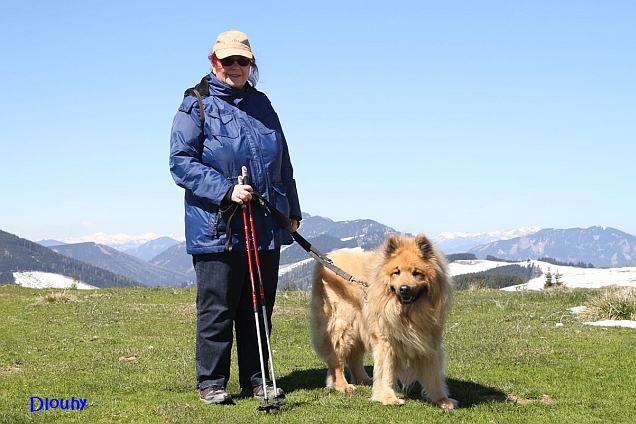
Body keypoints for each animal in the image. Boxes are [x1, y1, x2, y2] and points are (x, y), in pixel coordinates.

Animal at [310, 234, 454, 410]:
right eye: (396, 272)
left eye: (416, 273)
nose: (404, 289)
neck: (407, 313)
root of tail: (328, 258)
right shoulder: (386, 342)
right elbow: (386, 372)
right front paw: (388, 398)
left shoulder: (429, 341)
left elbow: (433, 374)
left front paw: (441, 400)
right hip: (341, 328)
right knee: (338, 361)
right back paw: (343, 386)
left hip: (359, 328)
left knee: (354, 358)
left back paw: (364, 380)